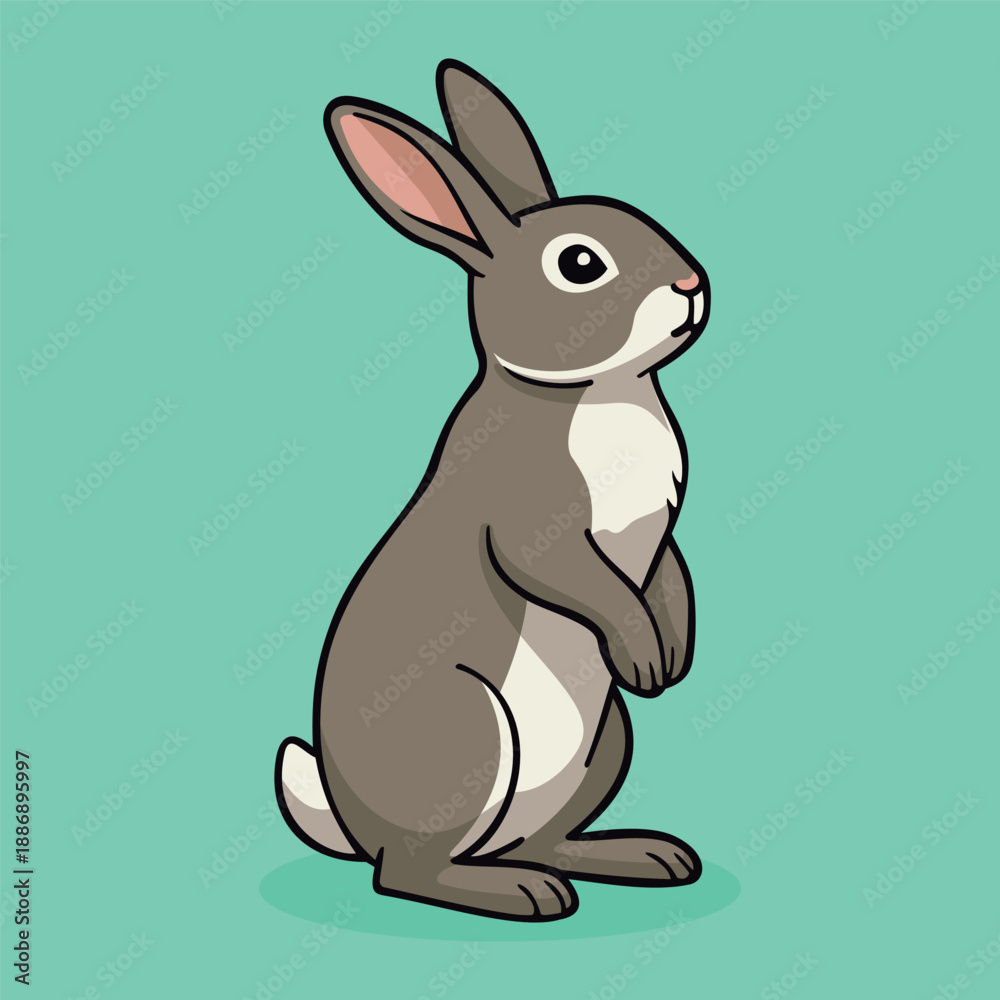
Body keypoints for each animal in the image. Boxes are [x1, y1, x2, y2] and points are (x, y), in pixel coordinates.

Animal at [275, 59, 710, 922]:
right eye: (580, 265)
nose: (692, 284)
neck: (593, 390)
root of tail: (352, 824)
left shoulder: (660, 532)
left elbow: (670, 574)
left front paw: (673, 657)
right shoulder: (534, 524)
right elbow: (579, 580)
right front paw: (646, 657)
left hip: (605, 740)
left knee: (542, 837)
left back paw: (638, 857)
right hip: (469, 726)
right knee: (407, 874)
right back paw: (522, 894)